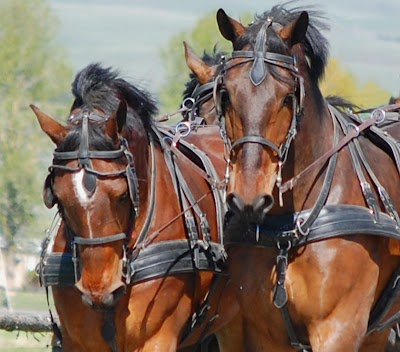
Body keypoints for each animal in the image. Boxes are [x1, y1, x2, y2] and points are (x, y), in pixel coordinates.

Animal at [186, 5, 400, 352]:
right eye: (226, 94)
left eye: (288, 96)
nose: (249, 197)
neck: (288, 231)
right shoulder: (259, 331)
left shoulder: (340, 328)